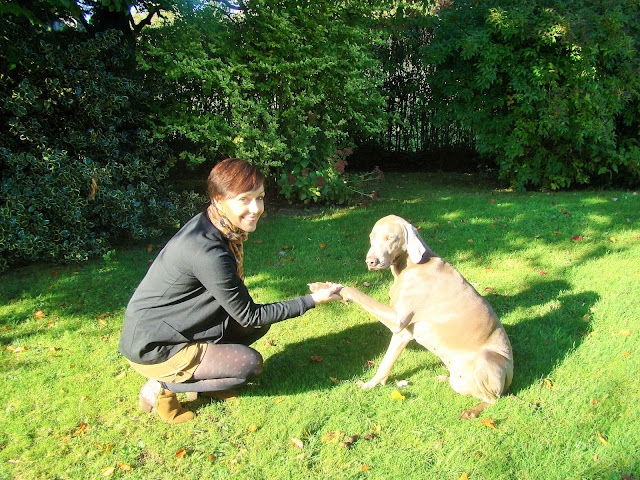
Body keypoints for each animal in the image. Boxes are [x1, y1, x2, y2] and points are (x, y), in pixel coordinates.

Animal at [312, 216, 516, 418]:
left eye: (391, 237)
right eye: (372, 236)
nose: (371, 262)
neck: (409, 266)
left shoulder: (397, 319)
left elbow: (356, 292)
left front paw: (337, 290)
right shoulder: (404, 332)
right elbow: (385, 362)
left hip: (487, 359)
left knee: (492, 399)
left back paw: (472, 411)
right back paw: (443, 377)